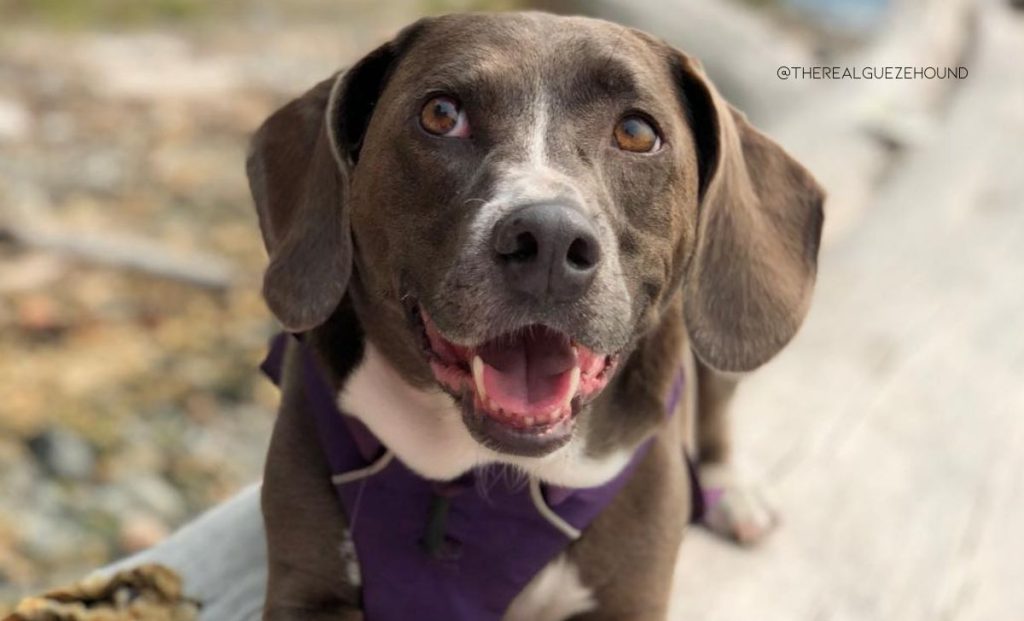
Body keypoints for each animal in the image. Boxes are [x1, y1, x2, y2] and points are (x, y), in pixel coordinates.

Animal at [247, 10, 823, 621]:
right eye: (440, 114)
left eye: (637, 132)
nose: (549, 240)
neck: (476, 474)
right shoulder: (306, 588)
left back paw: (733, 491)